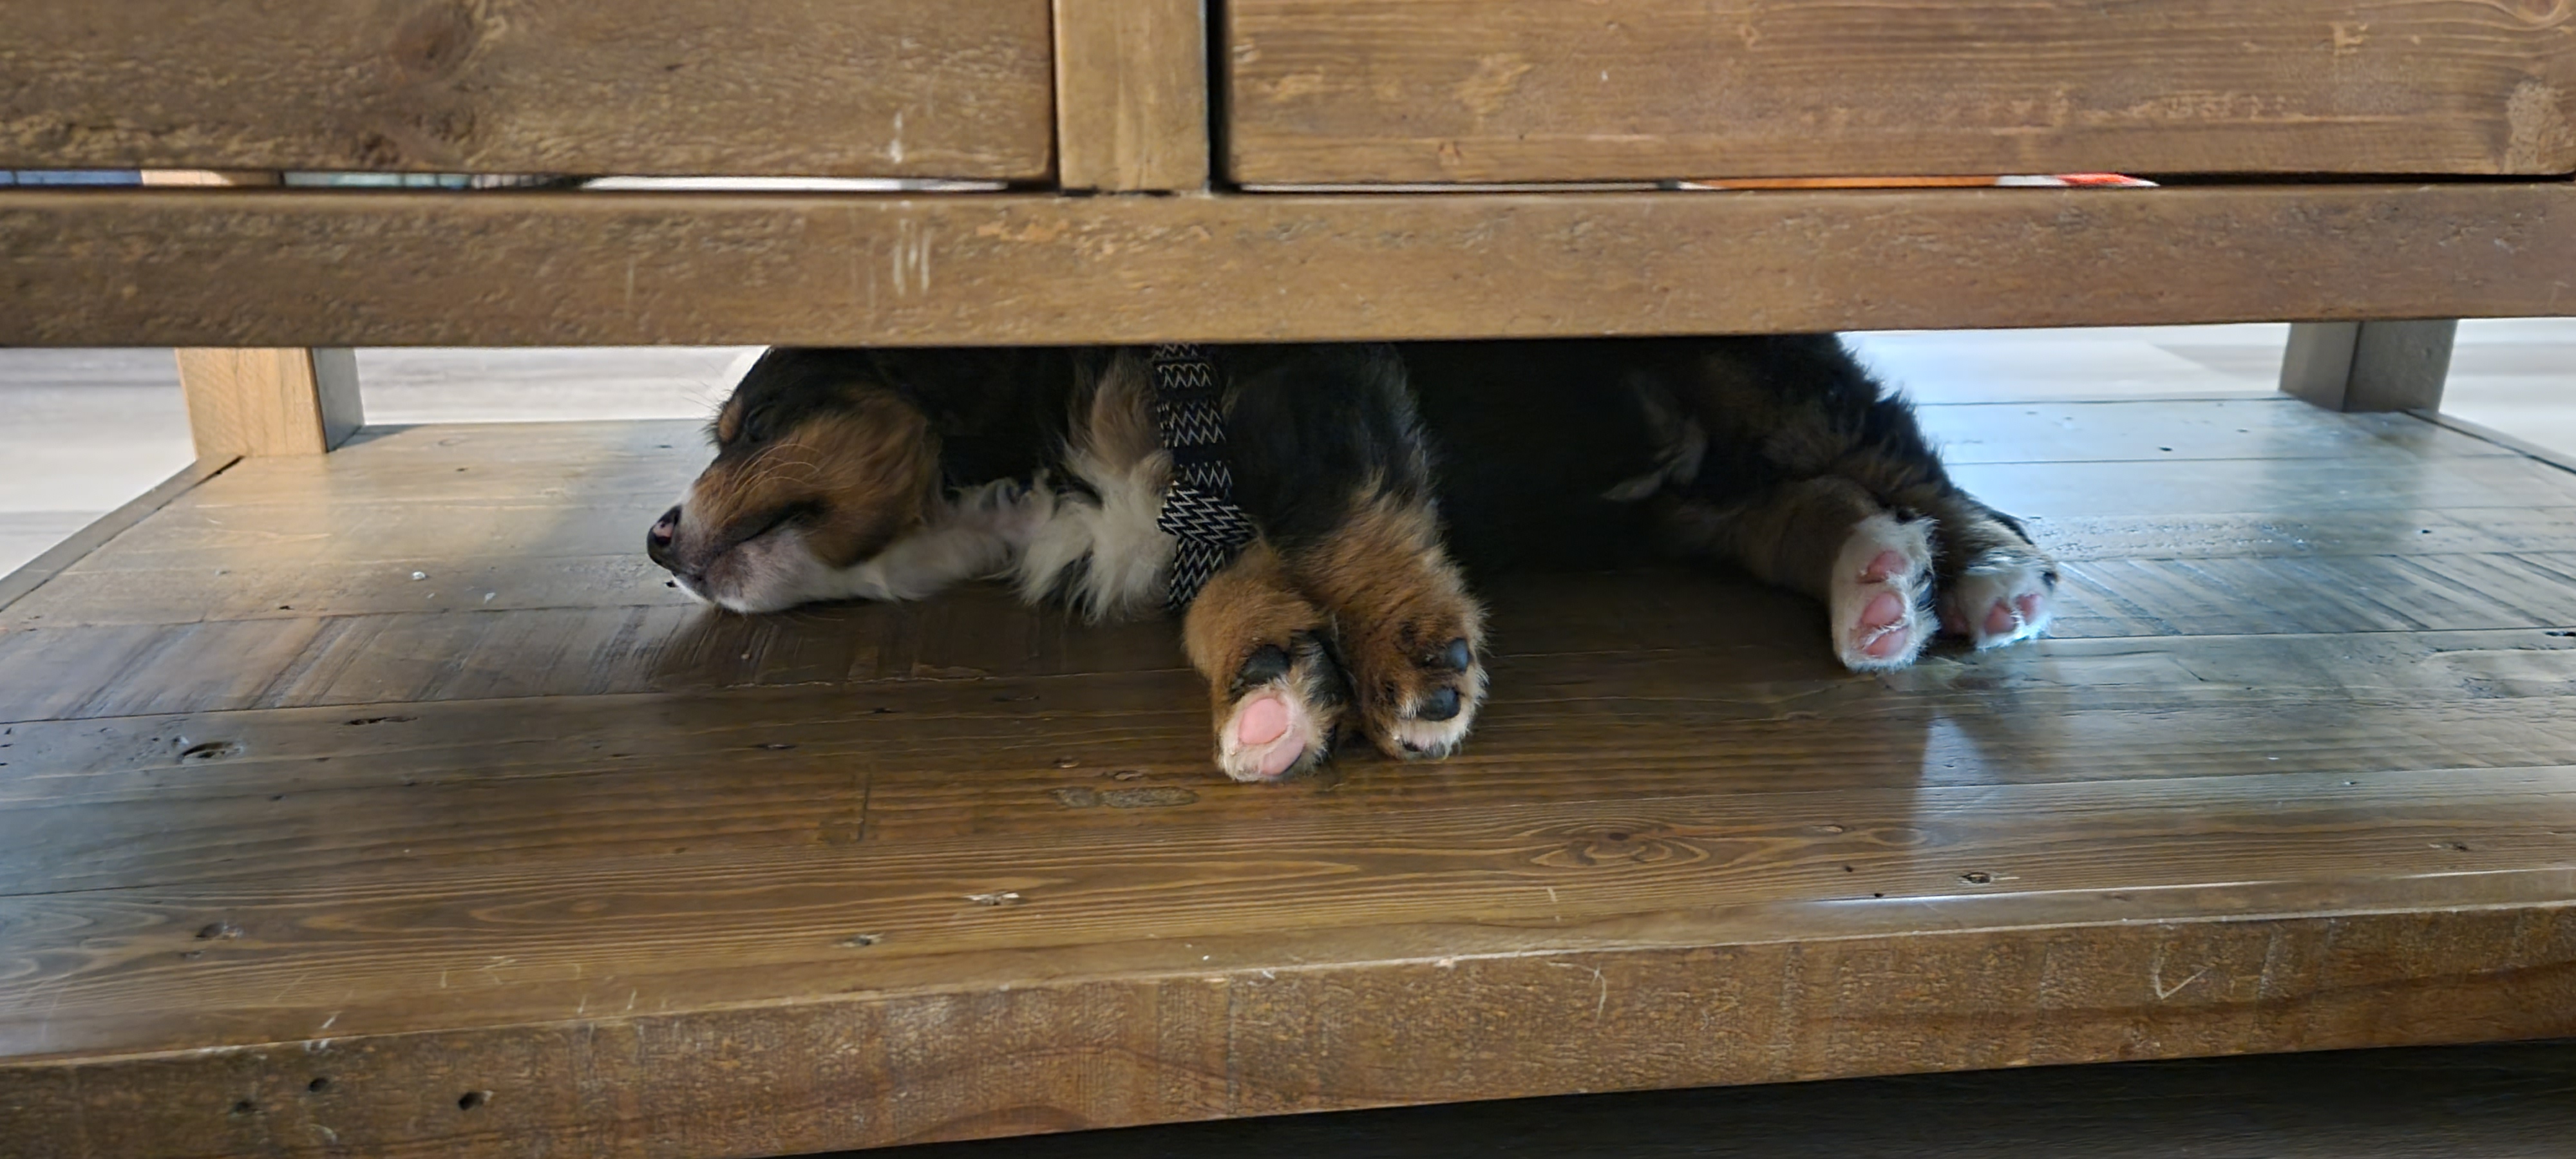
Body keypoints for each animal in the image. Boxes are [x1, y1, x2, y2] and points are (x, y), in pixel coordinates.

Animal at [654, 340, 2061, 783]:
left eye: (750, 428)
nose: (659, 538)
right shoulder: (1199, 522)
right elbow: (1230, 594)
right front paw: (1273, 693)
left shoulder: (1307, 376)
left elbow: (1344, 516)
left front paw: (1411, 671)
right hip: (1674, 510)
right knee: (1804, 509)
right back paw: (1875, 592)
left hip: (1759, 374)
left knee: (1900, 465)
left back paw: (1990, 577)